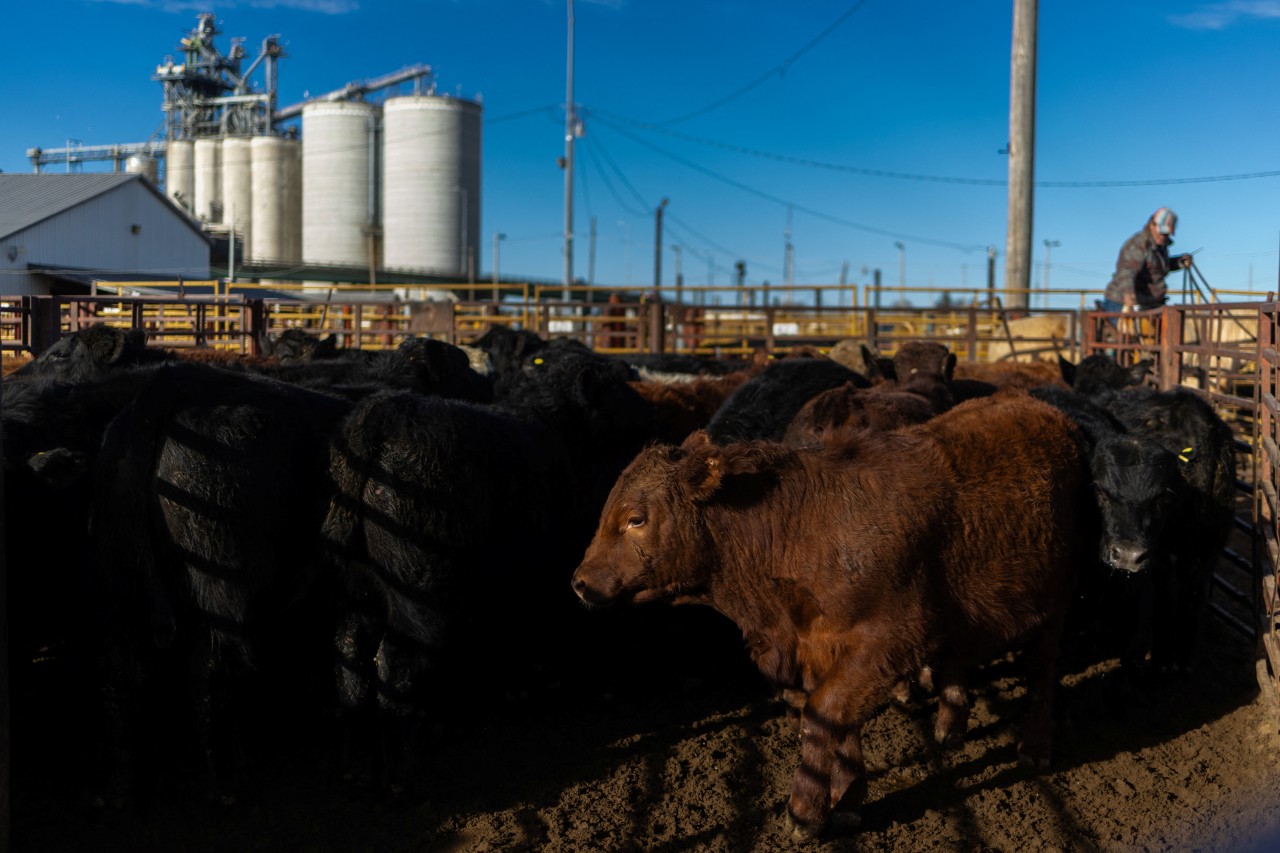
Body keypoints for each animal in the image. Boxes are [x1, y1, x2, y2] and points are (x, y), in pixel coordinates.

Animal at [573, 394, 1091, 836]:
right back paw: (950, 727)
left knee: (1042, 674)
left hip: (1056, 600)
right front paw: (847, 798)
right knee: (960, 661)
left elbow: (824, 714)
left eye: (636, 518)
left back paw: (1035, 746)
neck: (799, 526)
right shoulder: (819, 648)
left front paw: (805, 811)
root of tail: (1042, 410)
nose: (579, 581)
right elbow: (836, 724)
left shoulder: (886, 641)